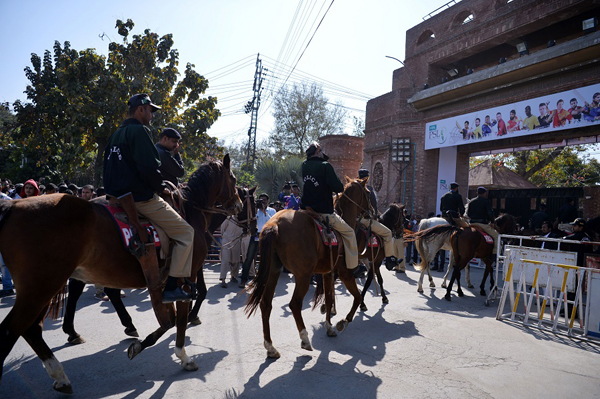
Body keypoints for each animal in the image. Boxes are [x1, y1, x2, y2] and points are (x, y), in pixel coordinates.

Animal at [0, 153, 241, 394]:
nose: (238, 205)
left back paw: (61, 373)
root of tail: (13, 206)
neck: (189, 212)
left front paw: (141, 345)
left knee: (32, 329)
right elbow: (179, 319)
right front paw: (183, 356)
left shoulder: (164, 282)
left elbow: (168, 321)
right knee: (12, 330)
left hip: (47, 288)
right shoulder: (186, 277)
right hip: (41, 288)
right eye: (233, 178)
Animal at [244, 178, 370, 360]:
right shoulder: (344, 273)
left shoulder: (328, 273)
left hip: (273, 271)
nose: (372, 212)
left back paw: (271, 347)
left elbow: (329, 298)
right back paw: (304, 339)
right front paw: (343, 322)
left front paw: (329, 327)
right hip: (302, 275)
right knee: (295, 304)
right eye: (368, 193)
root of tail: (275, 224)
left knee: (266, 303)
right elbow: (357, 297)